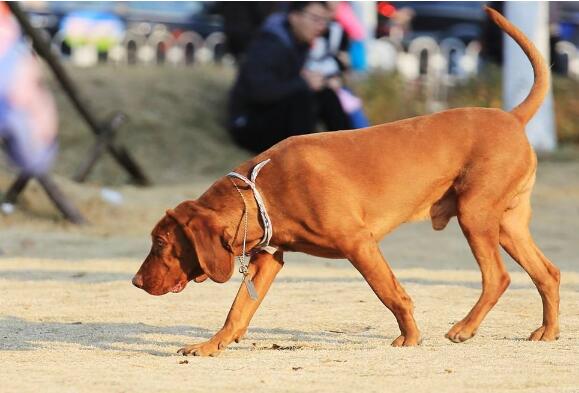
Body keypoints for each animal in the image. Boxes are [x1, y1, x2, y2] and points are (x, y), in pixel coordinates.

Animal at [134, 7, 560, 356]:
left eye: (160, 243)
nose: (136, 282)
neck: (260, 190)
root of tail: (513, 117)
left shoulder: (359, 244)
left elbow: (392, 294)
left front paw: (410, 337)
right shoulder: (267, 260)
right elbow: (237, 310)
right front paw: (211, 345)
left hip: (475, 215)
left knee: (498, 278)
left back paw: (465, 328)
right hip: (506, 224)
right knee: (548, 273)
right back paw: (548, 331)